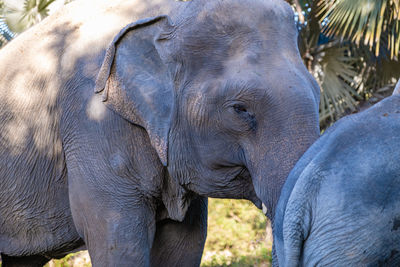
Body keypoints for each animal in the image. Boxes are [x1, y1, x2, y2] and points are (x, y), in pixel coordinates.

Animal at [0, 0, 318, 266]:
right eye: (240, 109)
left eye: (317, 93)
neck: (169, 11)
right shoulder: (91, 120)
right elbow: (118, 238)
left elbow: (185, 242)